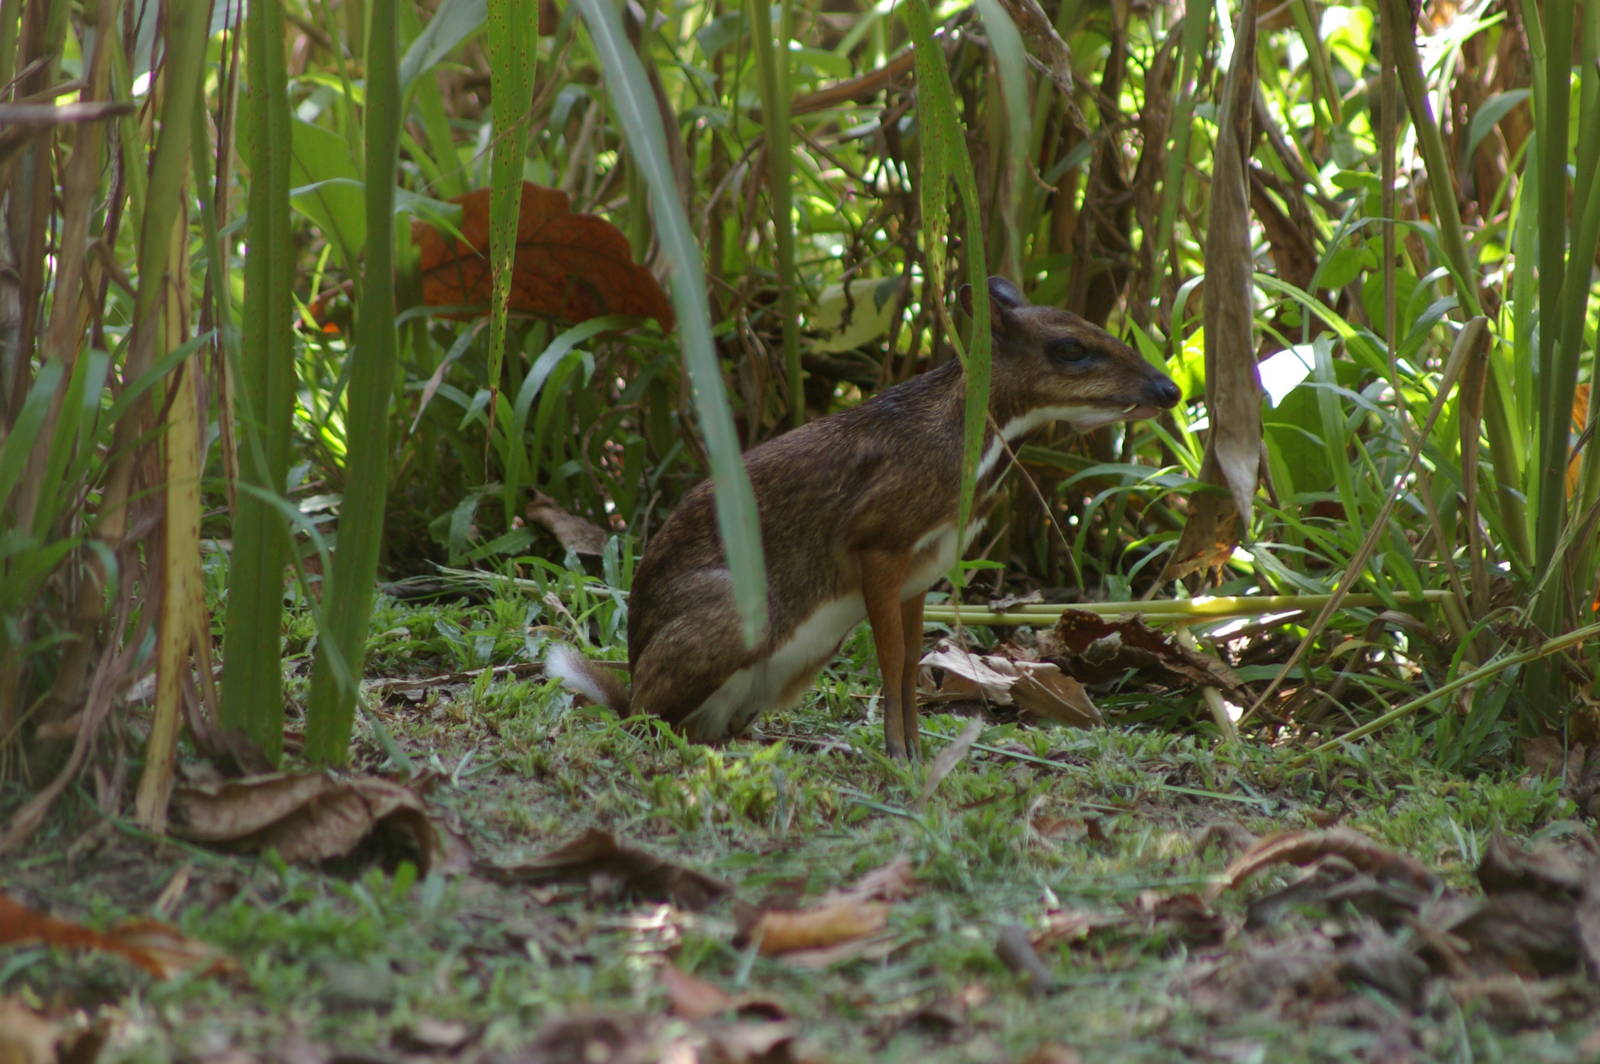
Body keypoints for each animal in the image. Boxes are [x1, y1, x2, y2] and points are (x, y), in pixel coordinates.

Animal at [546, 276, 1181, 760]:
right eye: (1070, 347)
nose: (1169, 388)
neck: (961, 447)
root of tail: (628, 685)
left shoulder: (921, 573)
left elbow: (909, 663)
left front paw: (916, 752)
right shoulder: (878, 542)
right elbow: (890, 657)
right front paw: (899, 754)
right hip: (738, 611)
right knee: (650, 721)